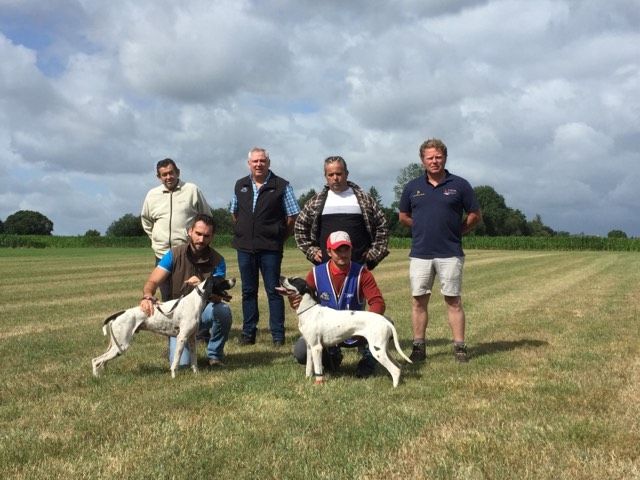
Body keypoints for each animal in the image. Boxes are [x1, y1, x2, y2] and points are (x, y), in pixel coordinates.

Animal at [92, 278, 235, 378]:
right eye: (221, 280)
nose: (234, 279)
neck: (194, 301)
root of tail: (119, 314)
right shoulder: (182, 338)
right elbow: (176, 361)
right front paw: (173, 376)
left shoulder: (191, 338)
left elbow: (194, 361)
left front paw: (196, 374)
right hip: (121, 347)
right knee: (95, 360)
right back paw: (96, 378)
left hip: (115, 346)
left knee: (102, 362)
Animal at [278, 276, 412, 388]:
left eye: (293, 280)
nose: (280, 277)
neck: (309, 311)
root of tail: (386, 321)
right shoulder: (310, 347)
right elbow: (309, 368)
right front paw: (307, 379)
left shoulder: (317, 348)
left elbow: (317, 369)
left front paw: (318, 383)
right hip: (384, 349)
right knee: (398, 366)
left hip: (377, 350)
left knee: (395, 369)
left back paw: (394, 388)